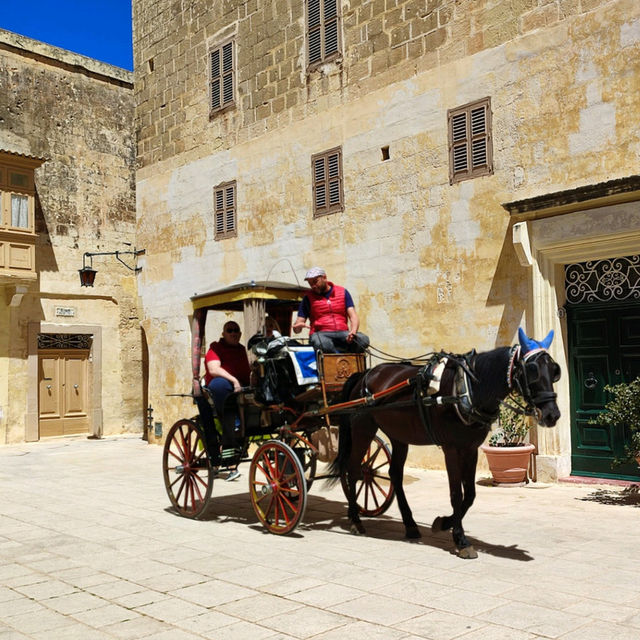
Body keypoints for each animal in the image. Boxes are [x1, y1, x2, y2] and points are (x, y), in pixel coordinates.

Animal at [330, 328, 560, 556]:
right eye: (532, 371)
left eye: (554, 371)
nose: (553, 415)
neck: (467, 390)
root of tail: (365, 375)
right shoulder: (451, 448)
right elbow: (456, 494)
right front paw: (460, 539)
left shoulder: (470, 448)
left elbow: (470, 494)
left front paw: (444, 523)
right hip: (363, 428)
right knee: (353, 469)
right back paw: (356, 520)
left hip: (398, 436)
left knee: (394, 474)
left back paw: (410, 525)